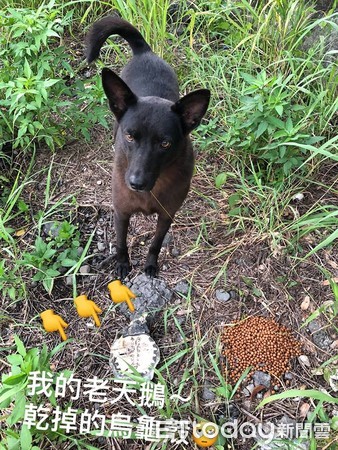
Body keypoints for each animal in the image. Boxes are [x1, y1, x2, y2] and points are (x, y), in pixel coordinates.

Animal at [86, 16, 210, 278]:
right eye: (130, 137)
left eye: (165, 143)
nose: (136, 183)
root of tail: (144, 51)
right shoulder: (121, 213)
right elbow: (121, 242)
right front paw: (123, 265)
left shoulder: (167, 215)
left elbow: (155, 243)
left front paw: (150, 265)